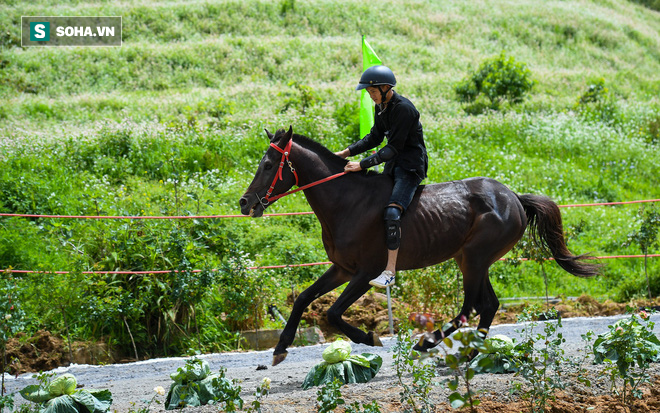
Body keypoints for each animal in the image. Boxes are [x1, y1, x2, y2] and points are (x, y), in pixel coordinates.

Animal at [238, 125, 600, 364]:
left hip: (475, 258)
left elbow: (333, 312)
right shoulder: (341, 269)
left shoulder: (364, 273)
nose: (245, 203)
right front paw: (280, 348)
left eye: (268, 165)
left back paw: (428, 344)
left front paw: (369, 337)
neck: (345, 202)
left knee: (471, 307)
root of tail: (513, 197)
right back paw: (471, 352)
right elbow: (303, 299)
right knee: (488, 305)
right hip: (471, 259)